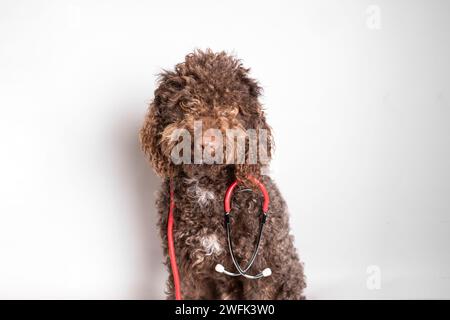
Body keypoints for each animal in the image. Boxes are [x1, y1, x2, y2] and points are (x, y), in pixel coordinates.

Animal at [140, 48, 306, 298]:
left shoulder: (258, 266)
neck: (207, 186)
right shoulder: (183, 265)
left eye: (232, 107)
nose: (208, 140)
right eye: (187, 103)